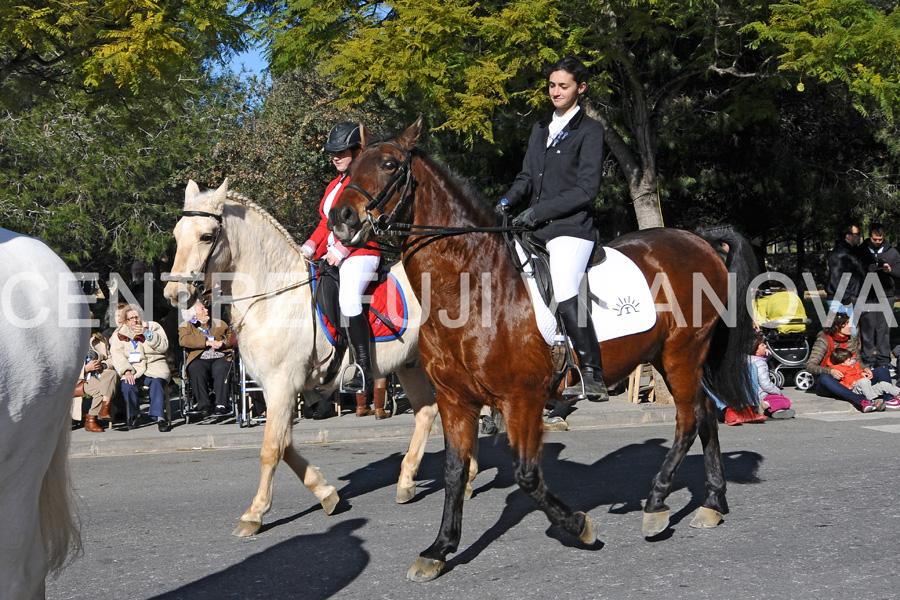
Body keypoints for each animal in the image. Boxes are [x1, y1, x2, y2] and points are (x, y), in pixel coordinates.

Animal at [162, 179, 458, 540]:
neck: (273, 296)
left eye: (206, 236)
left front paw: (254, 514)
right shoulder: (277, 389)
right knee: (429, 412)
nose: (174, 295)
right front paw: (327, 494)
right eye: (177, 234)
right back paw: (411, 481)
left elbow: (271, 448)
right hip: (410, 365)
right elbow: (285, 444)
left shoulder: (281, 384)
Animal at [326, 117, 756, 580]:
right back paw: (712, 503)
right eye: (351, 168)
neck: (471, 287)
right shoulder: (455, 399)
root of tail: (699, 241)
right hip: (672, 357)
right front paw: (439, 549)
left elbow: (527, 475)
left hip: (682, 353)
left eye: (389, 164)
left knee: (688, 420)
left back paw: (657, 505)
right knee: (705, 414)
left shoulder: (523, 399)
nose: (340, 218)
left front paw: (580, 526)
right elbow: (455, 472)